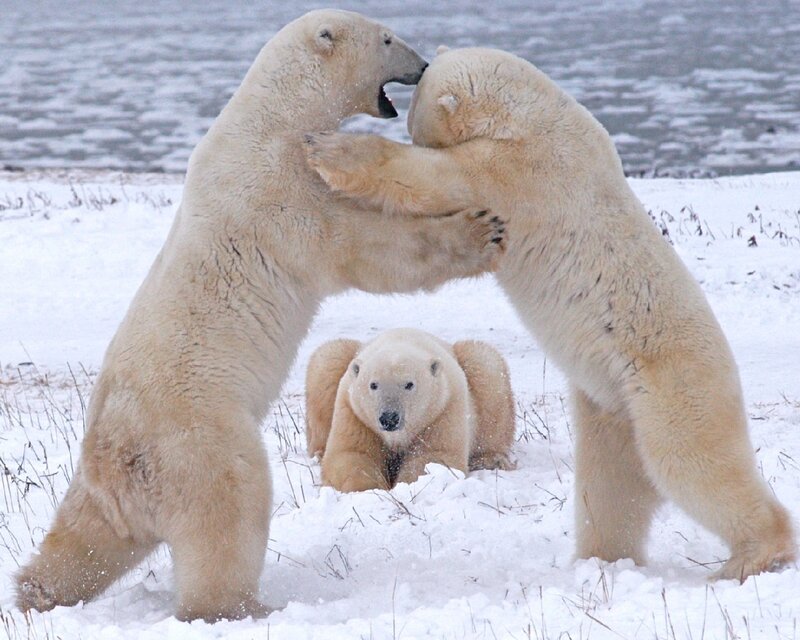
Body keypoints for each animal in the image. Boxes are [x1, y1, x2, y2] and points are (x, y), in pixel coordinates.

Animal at [305, 328, 516, 492]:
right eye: (373, 384)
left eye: (409, 384)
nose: (389, 418)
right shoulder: (354, 411)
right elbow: (352, 453)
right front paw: (370, 489)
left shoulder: (443, 408)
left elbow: (432, 456)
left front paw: (407, 486)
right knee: (327, 361)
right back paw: (319, 453)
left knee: (487, 367)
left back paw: (492, 459)